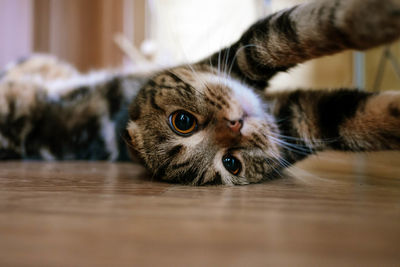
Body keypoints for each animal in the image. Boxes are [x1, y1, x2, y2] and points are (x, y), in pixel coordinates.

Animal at [0, 0, 400, 186]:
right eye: (231, 163)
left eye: (182, 121)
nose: (237, 124)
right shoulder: (299, 123)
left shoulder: (246, 58)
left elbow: (295, 33)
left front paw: (371, 20)